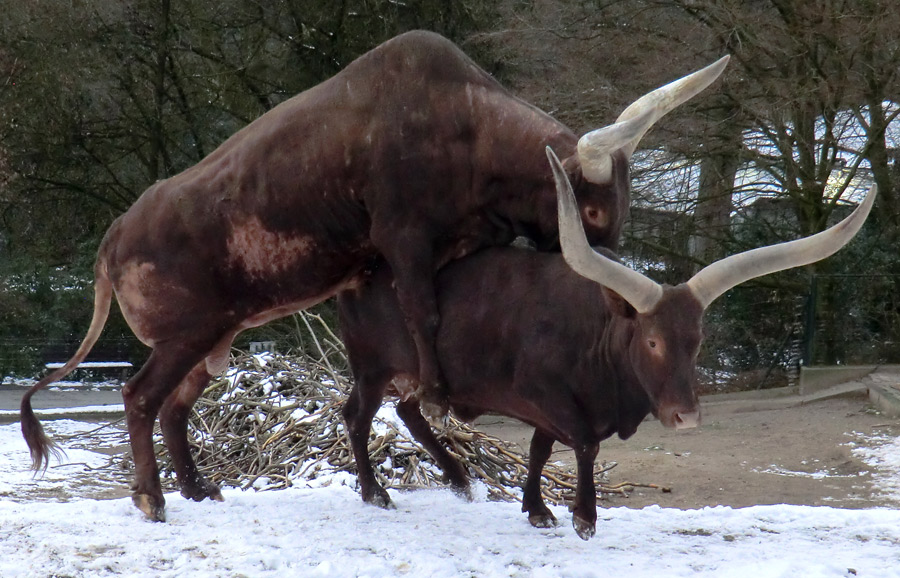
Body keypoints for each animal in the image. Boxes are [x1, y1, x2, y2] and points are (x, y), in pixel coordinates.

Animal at [21, 30, 728, 520]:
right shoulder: (403, 239)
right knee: (140, 397)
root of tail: (116, 234)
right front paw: (439, 392)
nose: (610, 291)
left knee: (174, 406)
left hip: (214, 339)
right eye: (591, 209)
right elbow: (423, 312)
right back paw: (152, 497)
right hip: (185, 336)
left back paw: (196, 488)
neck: (465, 126)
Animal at [336, 147, 872, 536]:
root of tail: (364, 270)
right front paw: (583, 516)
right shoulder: (545, 395)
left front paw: (538, 509)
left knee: (409, 410)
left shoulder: (553, 411)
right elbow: (584, 444)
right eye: (652, 342)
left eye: (697, 340)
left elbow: (539, 449)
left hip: (409, 373)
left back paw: (460, 479)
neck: (597, 335)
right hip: (371, 367)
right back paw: (374, 492)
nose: (687, 417)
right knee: (358, 416)